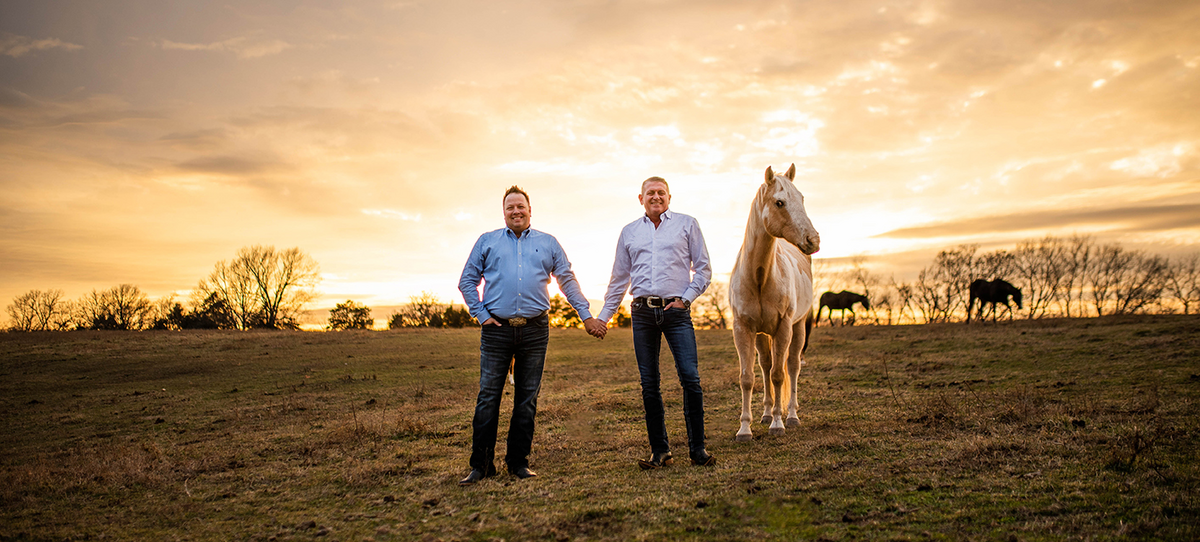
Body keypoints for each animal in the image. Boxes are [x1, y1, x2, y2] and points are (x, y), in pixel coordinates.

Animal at [724, 164, 820, 441]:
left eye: (801, 198)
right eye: (780, 202)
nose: (814, 240)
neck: (760, 277)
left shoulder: (784, 327)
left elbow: (779, 375)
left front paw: (778, 424)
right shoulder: (743, 328)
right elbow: (748, 377)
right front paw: (745, 428)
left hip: (798, 327)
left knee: (792, 366)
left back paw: (791, 416)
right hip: (761, 334)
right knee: (765, 366)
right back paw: (766, 413)